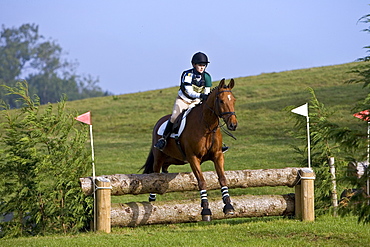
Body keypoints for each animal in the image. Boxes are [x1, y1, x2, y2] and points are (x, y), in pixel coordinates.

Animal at [142, 78, 237, 221]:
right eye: (221, 101)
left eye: (234, 100)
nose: (233, 125)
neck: (207, 126)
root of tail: (159, 121)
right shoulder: (193, 158)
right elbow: (202, 182)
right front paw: (206, 210)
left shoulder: (218, 155)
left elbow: (222, 179)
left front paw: (229, 207)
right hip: (158, 157)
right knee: (155, 174)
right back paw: (152, 202)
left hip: (173, 159)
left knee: (164, 169)